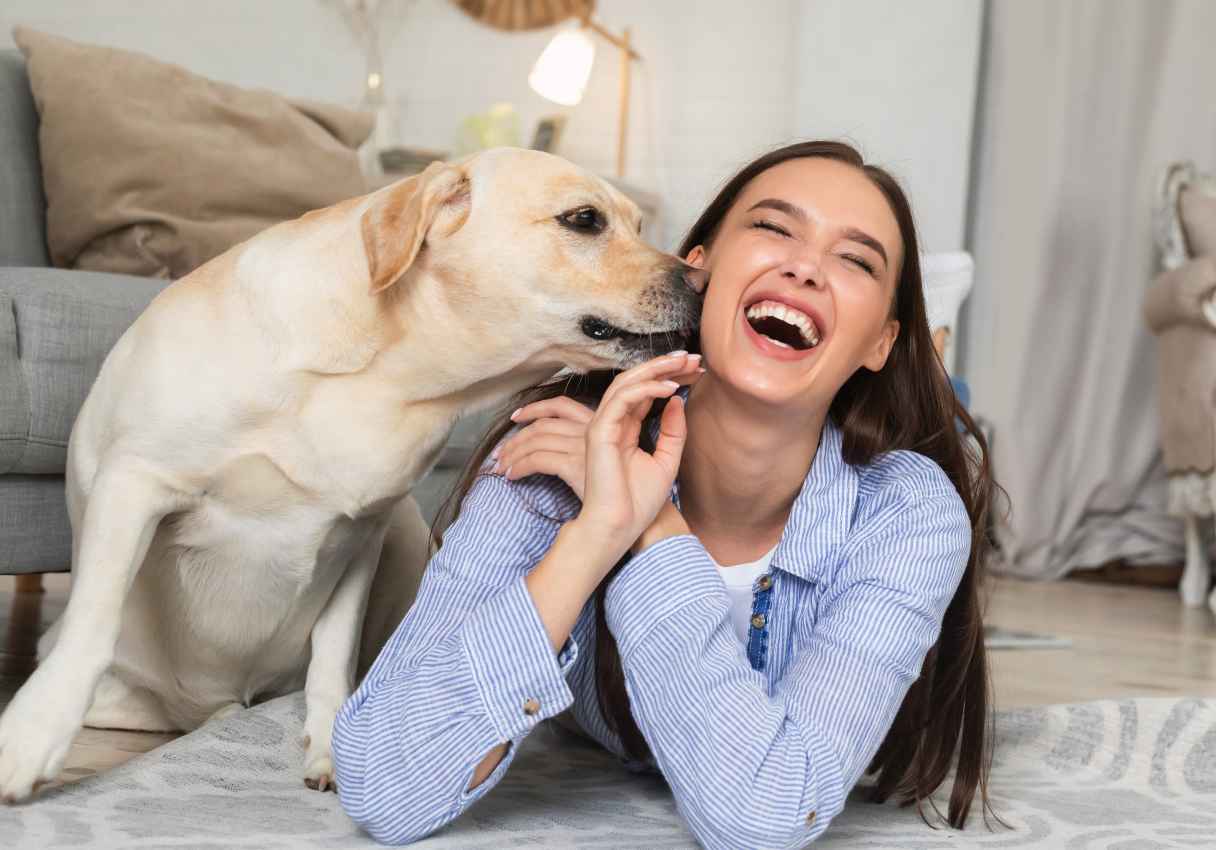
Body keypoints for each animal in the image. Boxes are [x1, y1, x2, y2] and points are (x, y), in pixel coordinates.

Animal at [0, 147, 705, 802]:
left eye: (640, 224)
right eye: (584, 220)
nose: (702, 282)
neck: (385, 375)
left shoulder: (364, 529)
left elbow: (333, 653)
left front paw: (328, 748)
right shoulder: (135, 483)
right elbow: (93, 626)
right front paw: (30, 738)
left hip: (406, 533)